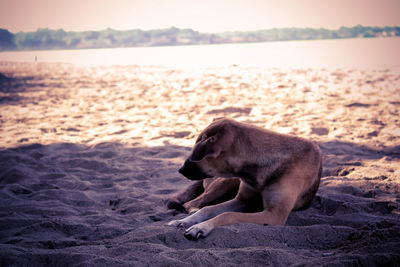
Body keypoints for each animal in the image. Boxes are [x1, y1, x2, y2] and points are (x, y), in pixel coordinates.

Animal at [167, 118, 324, 240]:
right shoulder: (241, 200)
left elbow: (228, 215)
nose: (180, 169)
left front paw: (201, 227)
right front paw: (184, 221)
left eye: (195, 157)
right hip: (227, 182)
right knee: (194, 203)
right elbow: (207, 209)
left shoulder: (274, 215)